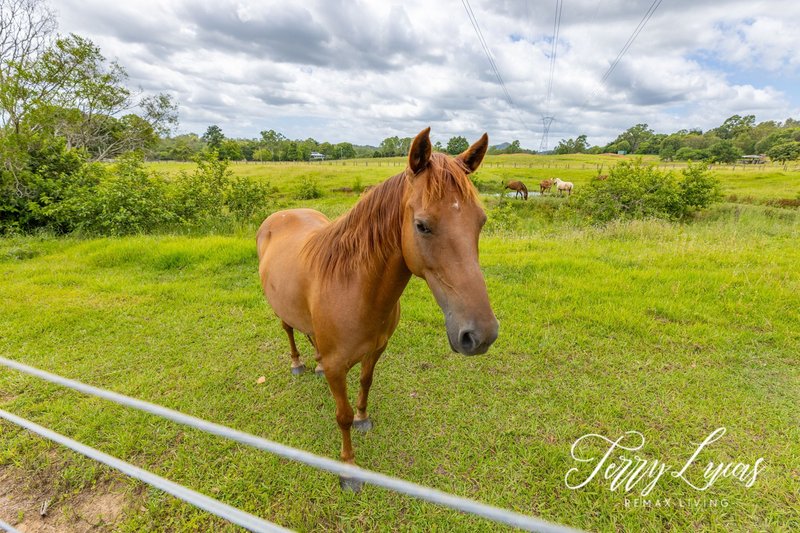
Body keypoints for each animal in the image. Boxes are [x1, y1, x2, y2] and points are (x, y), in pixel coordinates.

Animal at [256, 127, 496, 488]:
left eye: (480, 222)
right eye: (422, 225)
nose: (481, 335)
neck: (355, 290)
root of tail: (279, 216)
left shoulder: (377, 349)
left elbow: (366, 383)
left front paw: (363, 417)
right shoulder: (338, 368)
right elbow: (340, 417)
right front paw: (348, 468)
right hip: (280, 312)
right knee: (288, 330)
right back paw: (298, 363)